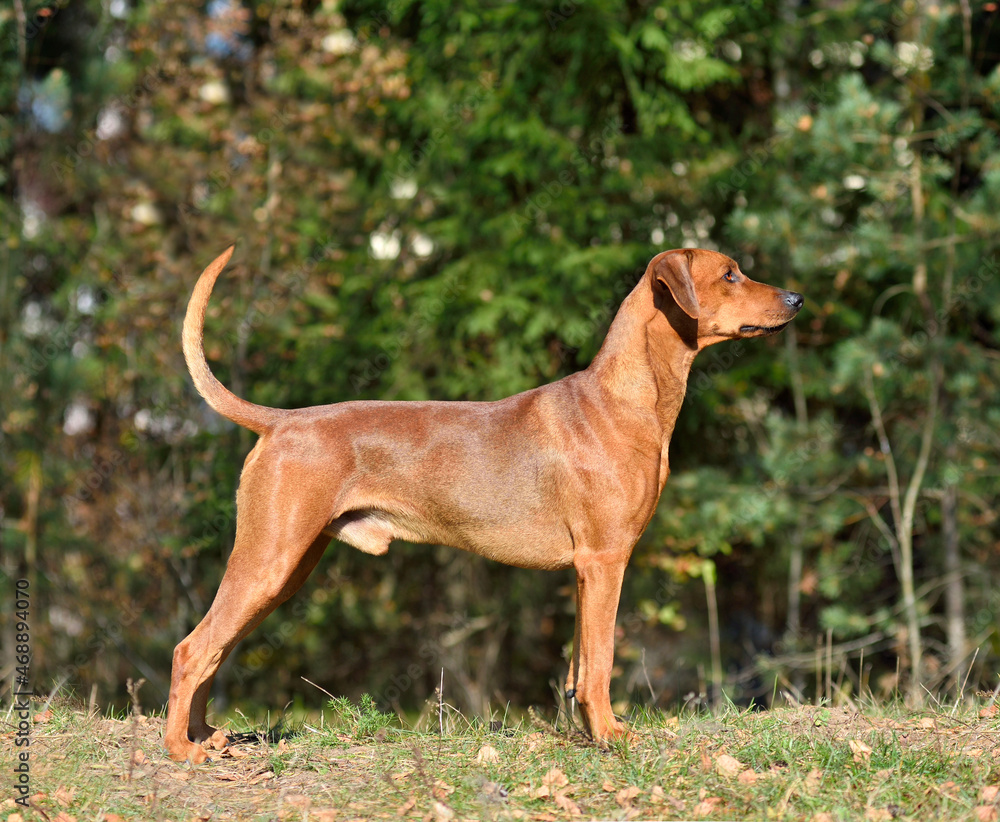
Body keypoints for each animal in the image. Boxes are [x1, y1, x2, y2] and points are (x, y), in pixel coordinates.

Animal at [166, 246, 804, 768]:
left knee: (216, 647)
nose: (797, 298)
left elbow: (579, 667)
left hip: (288, 568)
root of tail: (281, 421)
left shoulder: (585, 570)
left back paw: (205, 736)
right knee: (192, 646)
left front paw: (587, 732)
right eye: (730, 273)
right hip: (270, 558)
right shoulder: (605, 561)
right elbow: (600, 661)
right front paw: (611, 736)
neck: (626, 398)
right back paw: (180, 748)